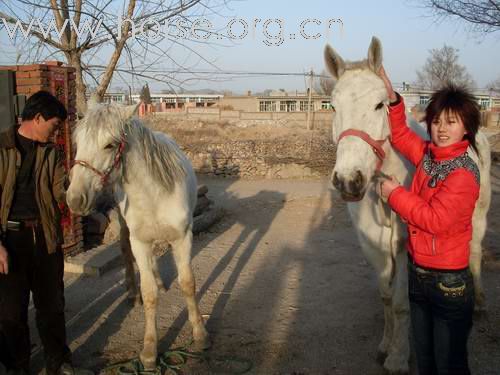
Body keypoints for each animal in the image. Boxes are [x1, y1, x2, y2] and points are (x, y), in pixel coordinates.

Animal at [66, 102, 209, 370]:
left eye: (110, 145)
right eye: (77, 141)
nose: (75, 199)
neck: (154, 192)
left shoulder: (183, 237)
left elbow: (188, 283)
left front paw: (200, 335)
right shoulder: (139, 241)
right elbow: (149, 293)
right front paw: (150, 351)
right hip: (127, 230)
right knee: (126, 252)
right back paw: (132, 292)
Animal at [322, 36, 490, 375]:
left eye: (379, 105)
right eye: (333, 106)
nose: (348, 180)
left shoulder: (402, 245)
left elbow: (401, 304)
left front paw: (399, 358)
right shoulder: (373, 244)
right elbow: (387, 297)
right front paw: (386, 345)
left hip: (478, 220)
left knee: (474, 254)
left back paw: (477, 301)